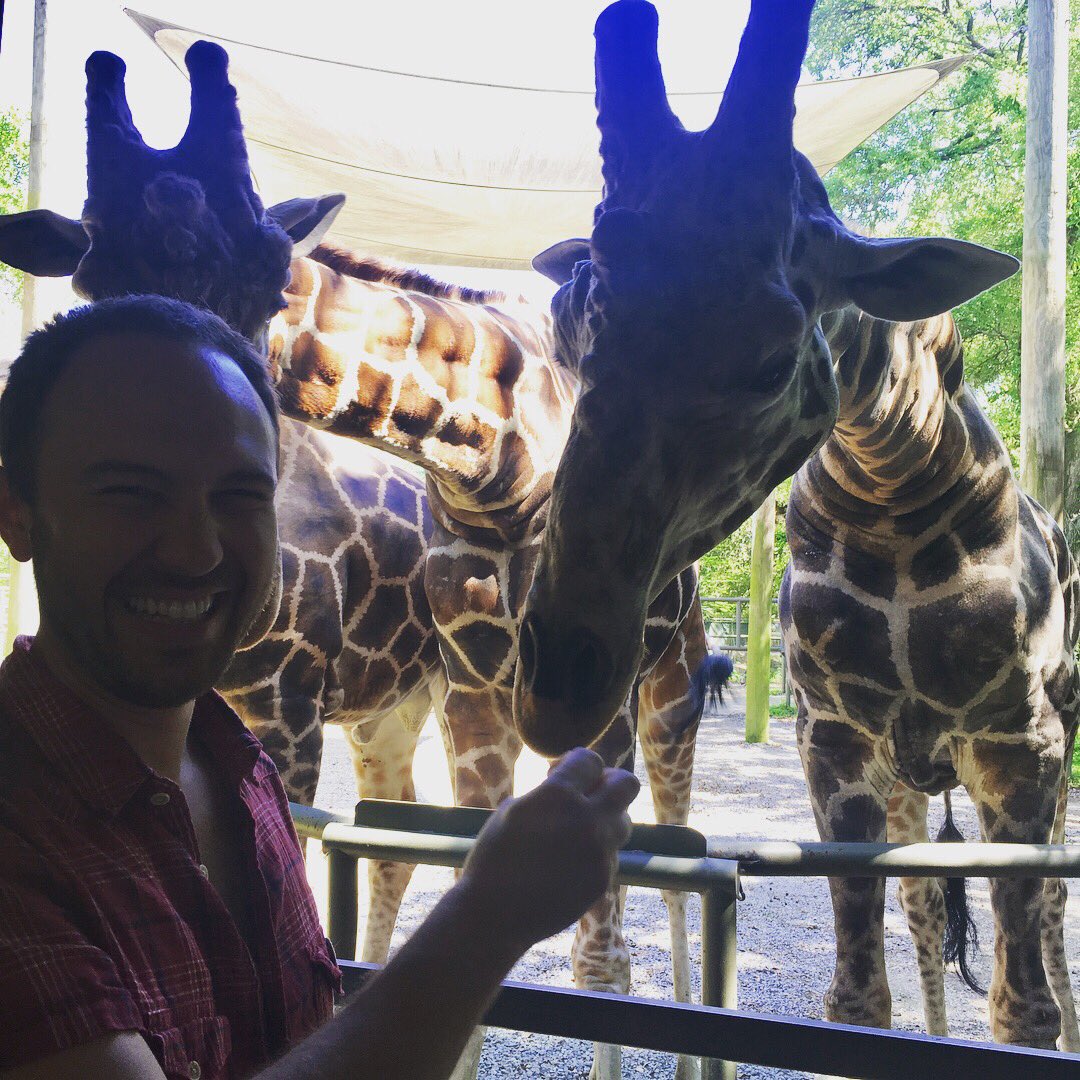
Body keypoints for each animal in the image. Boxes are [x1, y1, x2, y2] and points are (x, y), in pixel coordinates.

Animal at [781, 308, 1075, 1049]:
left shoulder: (1024, 742)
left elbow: (1024, 1009)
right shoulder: (833, 738)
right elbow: (856, 997)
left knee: (1055, 897)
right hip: (907, 777)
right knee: (925, 897)